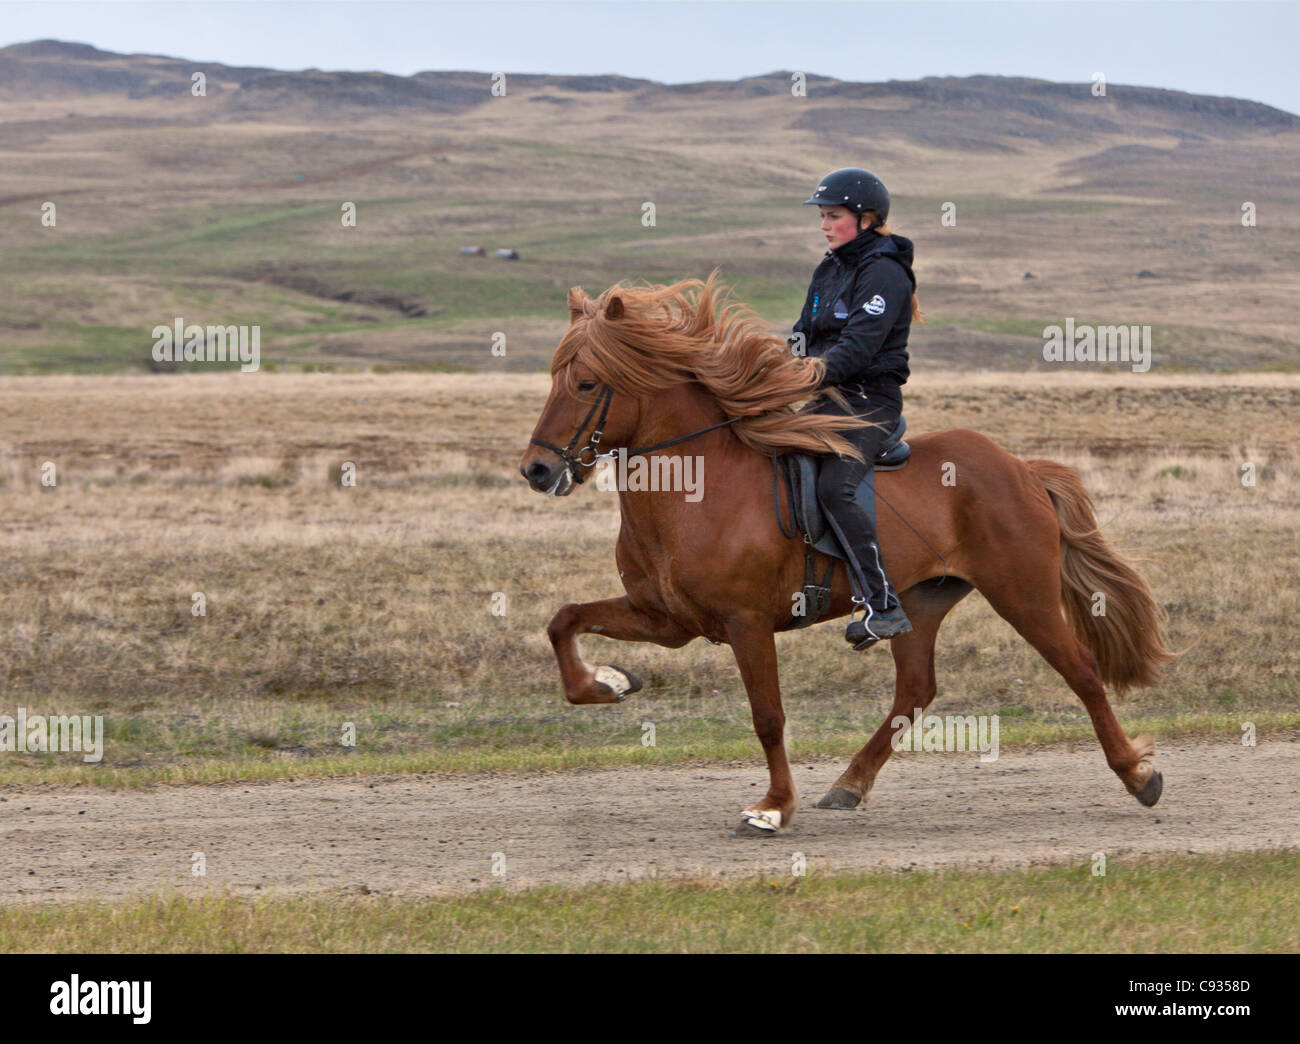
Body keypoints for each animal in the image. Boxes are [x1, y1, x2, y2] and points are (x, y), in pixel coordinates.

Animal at [520, 273, 1180, 837]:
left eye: (585, 383)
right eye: (552, 377)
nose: (538, 470)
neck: (694, 489)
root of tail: (1020, 467)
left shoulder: (745, 623)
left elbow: (768, 717)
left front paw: (771, 808)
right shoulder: (666, 620)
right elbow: (564, 620)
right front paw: (607, 683)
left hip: (1023, 593)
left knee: (1082, 672)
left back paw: (1139, 775)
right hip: (921, 600)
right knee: (915, 690)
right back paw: (849, 784)